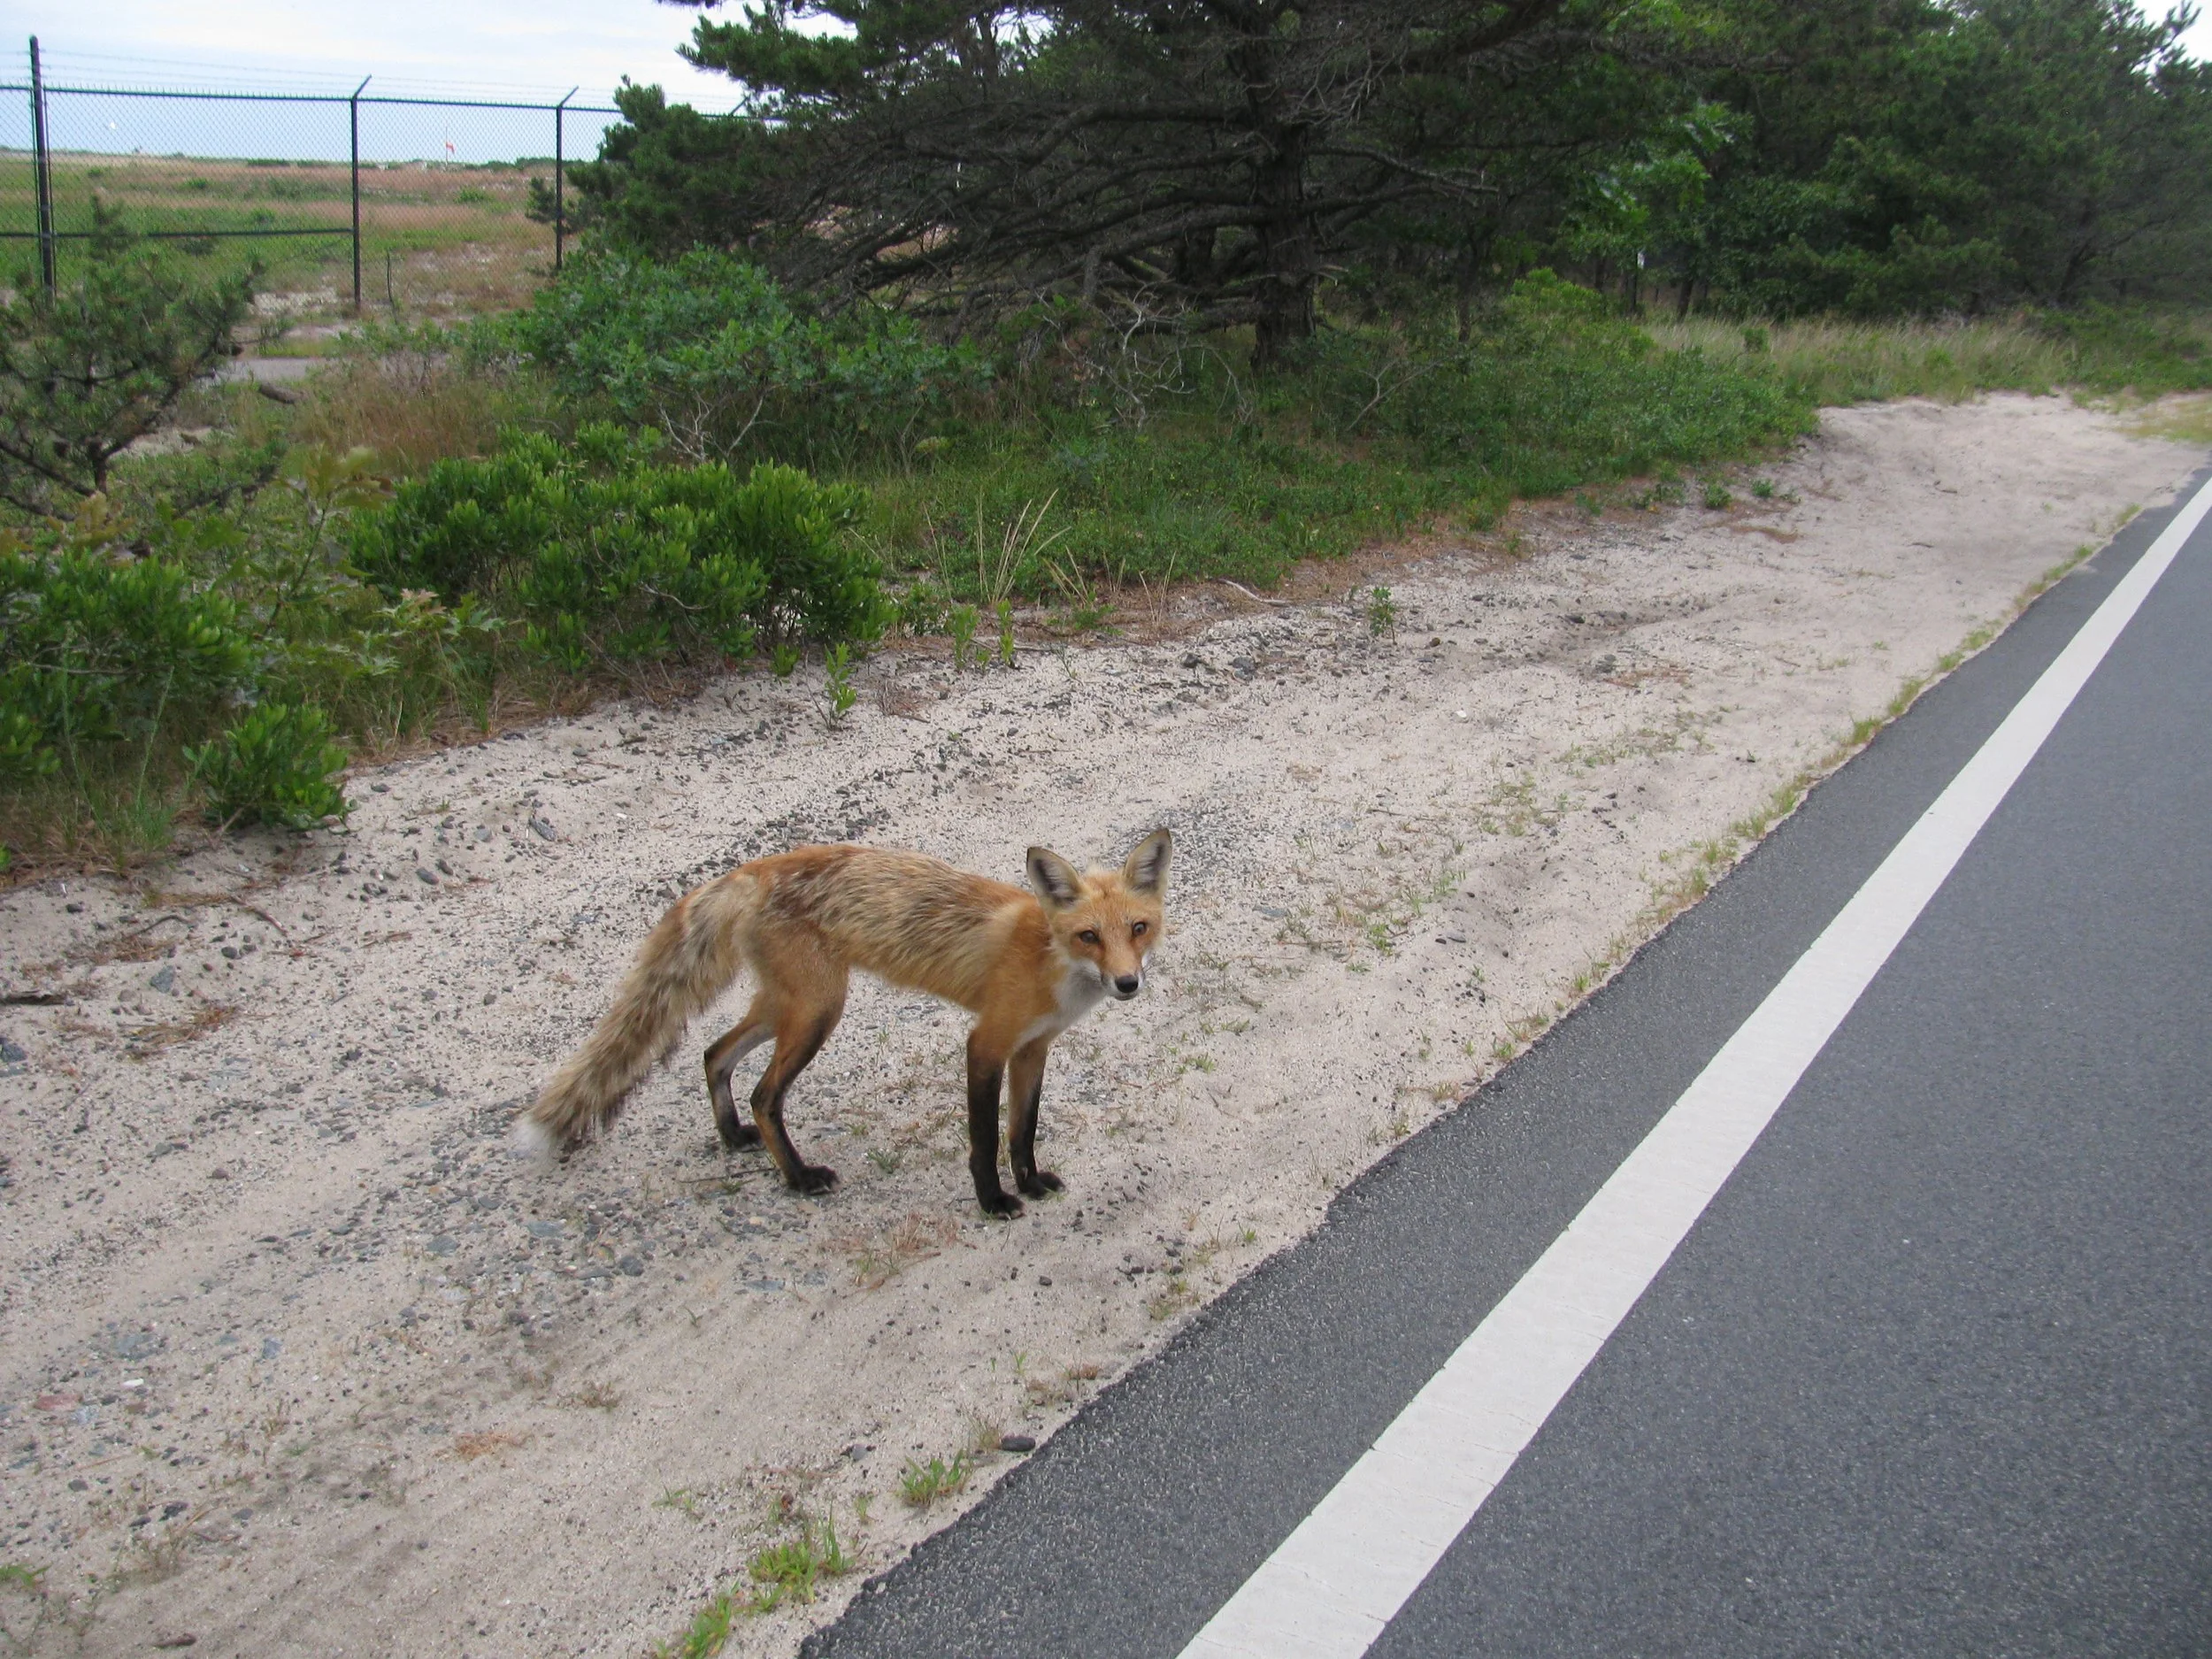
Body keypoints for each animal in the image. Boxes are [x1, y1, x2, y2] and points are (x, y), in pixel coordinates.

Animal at [518, 830, 1171, 1216]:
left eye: (1137, 929)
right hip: (818, 1012)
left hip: (787, 1005)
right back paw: (798, 1178)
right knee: (763, 1094)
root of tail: (755, 868)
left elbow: (1023, 1131)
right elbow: (986, 1138)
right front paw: (993, 1200)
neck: (1049, 960)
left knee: (713, 1053)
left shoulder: (1033, 1049)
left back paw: (732, 1137)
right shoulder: (986, 1044)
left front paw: (1030, 1184)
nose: (1126, 983)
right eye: (1089, 936)